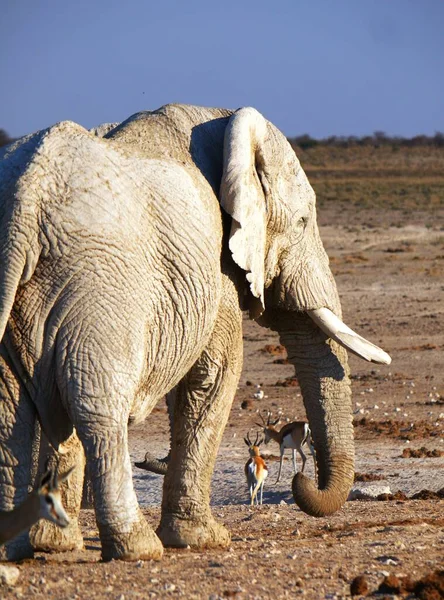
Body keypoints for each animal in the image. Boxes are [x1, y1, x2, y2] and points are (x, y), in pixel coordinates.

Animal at [0, 104, 388, 564]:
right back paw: (138, 547)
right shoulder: (215, 271)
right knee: (96, 406)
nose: (302, 484)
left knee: (16, 409)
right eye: (302, 221)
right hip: (100, 285)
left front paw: (56, 544)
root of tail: (25, 196)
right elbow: (215, 375)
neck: (220, 120)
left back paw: (21, 547)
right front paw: (203, 539)